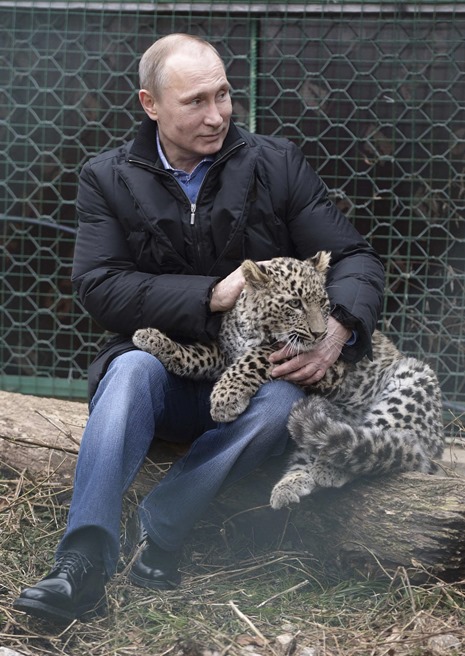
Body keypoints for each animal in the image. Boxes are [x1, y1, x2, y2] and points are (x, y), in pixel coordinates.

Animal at [132, 252, 444, 509]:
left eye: (324, 303)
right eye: (295, 303)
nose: (321, 334)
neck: (254, 326)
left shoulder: (326, 366)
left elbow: (258, 356)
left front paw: (225, 398)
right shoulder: (223, 352)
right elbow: (196, 354)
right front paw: (152, 338)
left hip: (412, 382)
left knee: (383, 442)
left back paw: (332, 469)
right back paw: (291, 485)